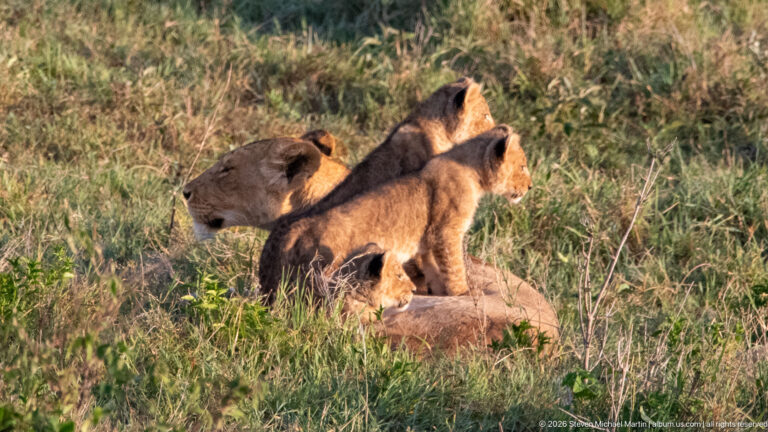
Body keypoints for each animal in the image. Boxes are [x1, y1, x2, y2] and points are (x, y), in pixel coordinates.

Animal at [259, 125, 533, 301]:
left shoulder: (427, 241)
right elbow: (455, 267)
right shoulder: (446, 232)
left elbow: (434, 269)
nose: (530, 187)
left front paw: (437, 291)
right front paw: (463, 293)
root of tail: (297, 228)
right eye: (522, 166)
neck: (472, 171)